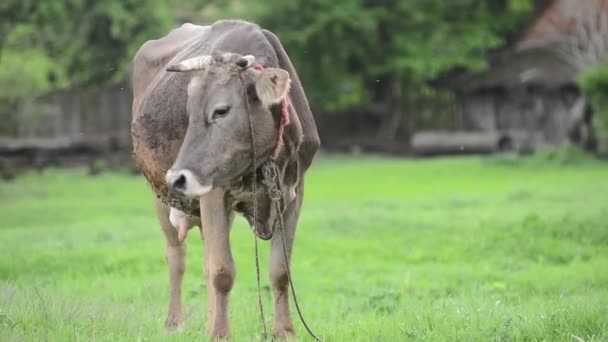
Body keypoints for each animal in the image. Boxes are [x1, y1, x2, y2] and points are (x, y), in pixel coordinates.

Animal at [128, 19, 318, 340]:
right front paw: (220, 333)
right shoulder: (214, 194)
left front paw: (284, 331)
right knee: (177, 256)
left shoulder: (293, 194)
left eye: (221, 110)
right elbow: (222, 271)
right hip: (160, 194)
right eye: (189, 112)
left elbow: (280, 270)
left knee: (204, 260)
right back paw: (174, 322)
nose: (178, 177)